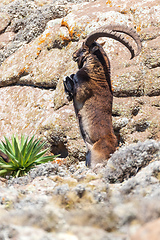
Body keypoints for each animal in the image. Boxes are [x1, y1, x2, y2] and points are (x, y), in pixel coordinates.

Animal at [63, 24, 141, 167]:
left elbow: (70, 84)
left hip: (96, 157)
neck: (95, 72)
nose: (74, 55)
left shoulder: (80, 92)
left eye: (84, 48)